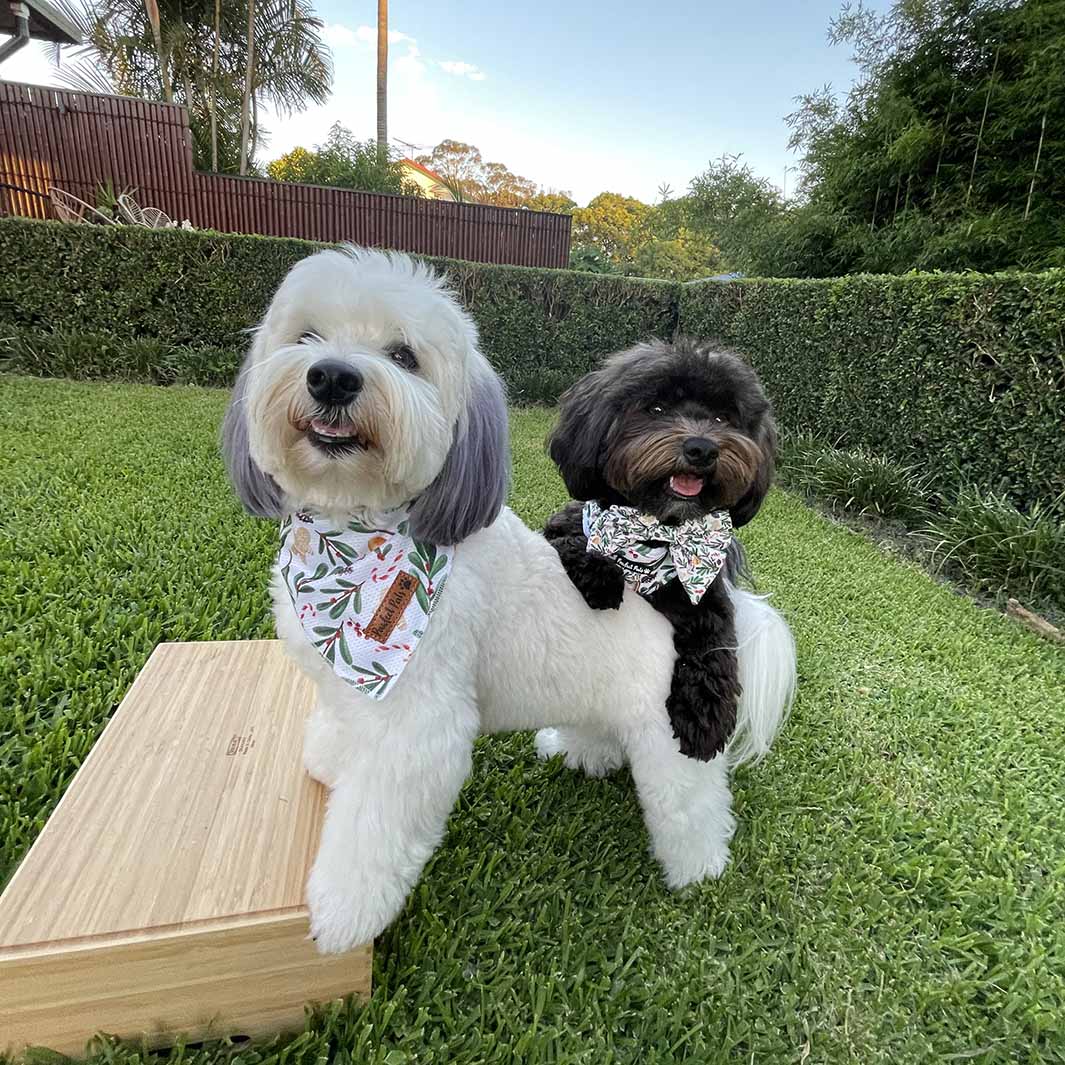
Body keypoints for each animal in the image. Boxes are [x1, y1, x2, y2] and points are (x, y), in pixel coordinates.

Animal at [545, 336, 779, 762]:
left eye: (722, 418)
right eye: (655, 409)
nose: (702, 448)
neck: (657, 532)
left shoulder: (707, 595)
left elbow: (716, 643)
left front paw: (706, 713)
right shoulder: (559, 528)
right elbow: (576, 543)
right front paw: (601, 574)